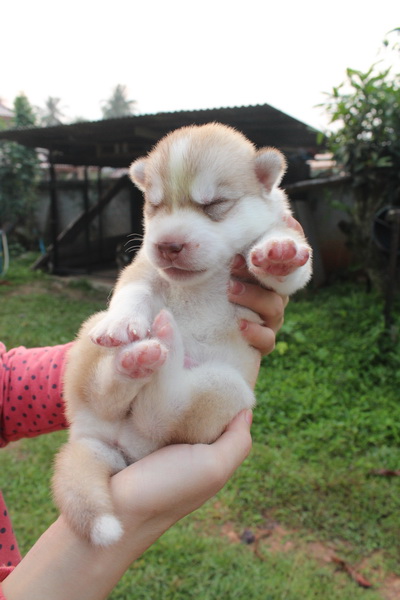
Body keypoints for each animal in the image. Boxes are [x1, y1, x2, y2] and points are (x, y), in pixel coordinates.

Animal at [52, 122, 312, 546]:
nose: (168, 245)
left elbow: (288, 271)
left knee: (160, 411)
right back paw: (137, 355)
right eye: (155, 206)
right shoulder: (142, 266)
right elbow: (133, 290)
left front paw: (278, 251)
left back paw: (162, 347)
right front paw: (122, 320)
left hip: (228, 390)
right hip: (88, 346)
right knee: (108, 392)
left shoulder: (279, 279)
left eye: (214, 204)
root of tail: (106, 443)